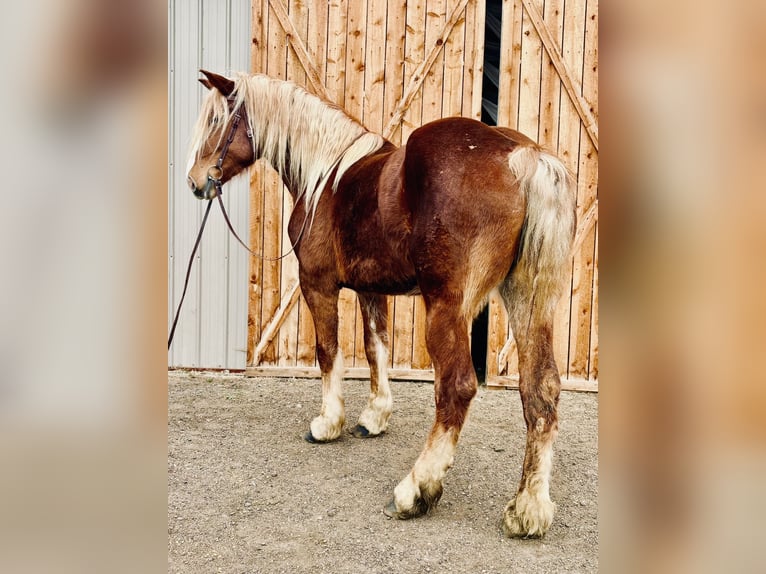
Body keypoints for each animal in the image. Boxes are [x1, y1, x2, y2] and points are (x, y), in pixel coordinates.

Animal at [186, 70, 576, 538]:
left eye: (215, 122)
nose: (195, 181)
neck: (326, 178)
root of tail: (524, 157)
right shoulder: (370, 290)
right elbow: (377, 349)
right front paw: (374, 416)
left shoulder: (318, 285)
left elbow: (328, 353)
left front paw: (328, 423)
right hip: (528, 302)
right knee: (541, 389)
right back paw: (528, 509)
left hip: (447, 307)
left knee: (457, 387)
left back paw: (416, 490)